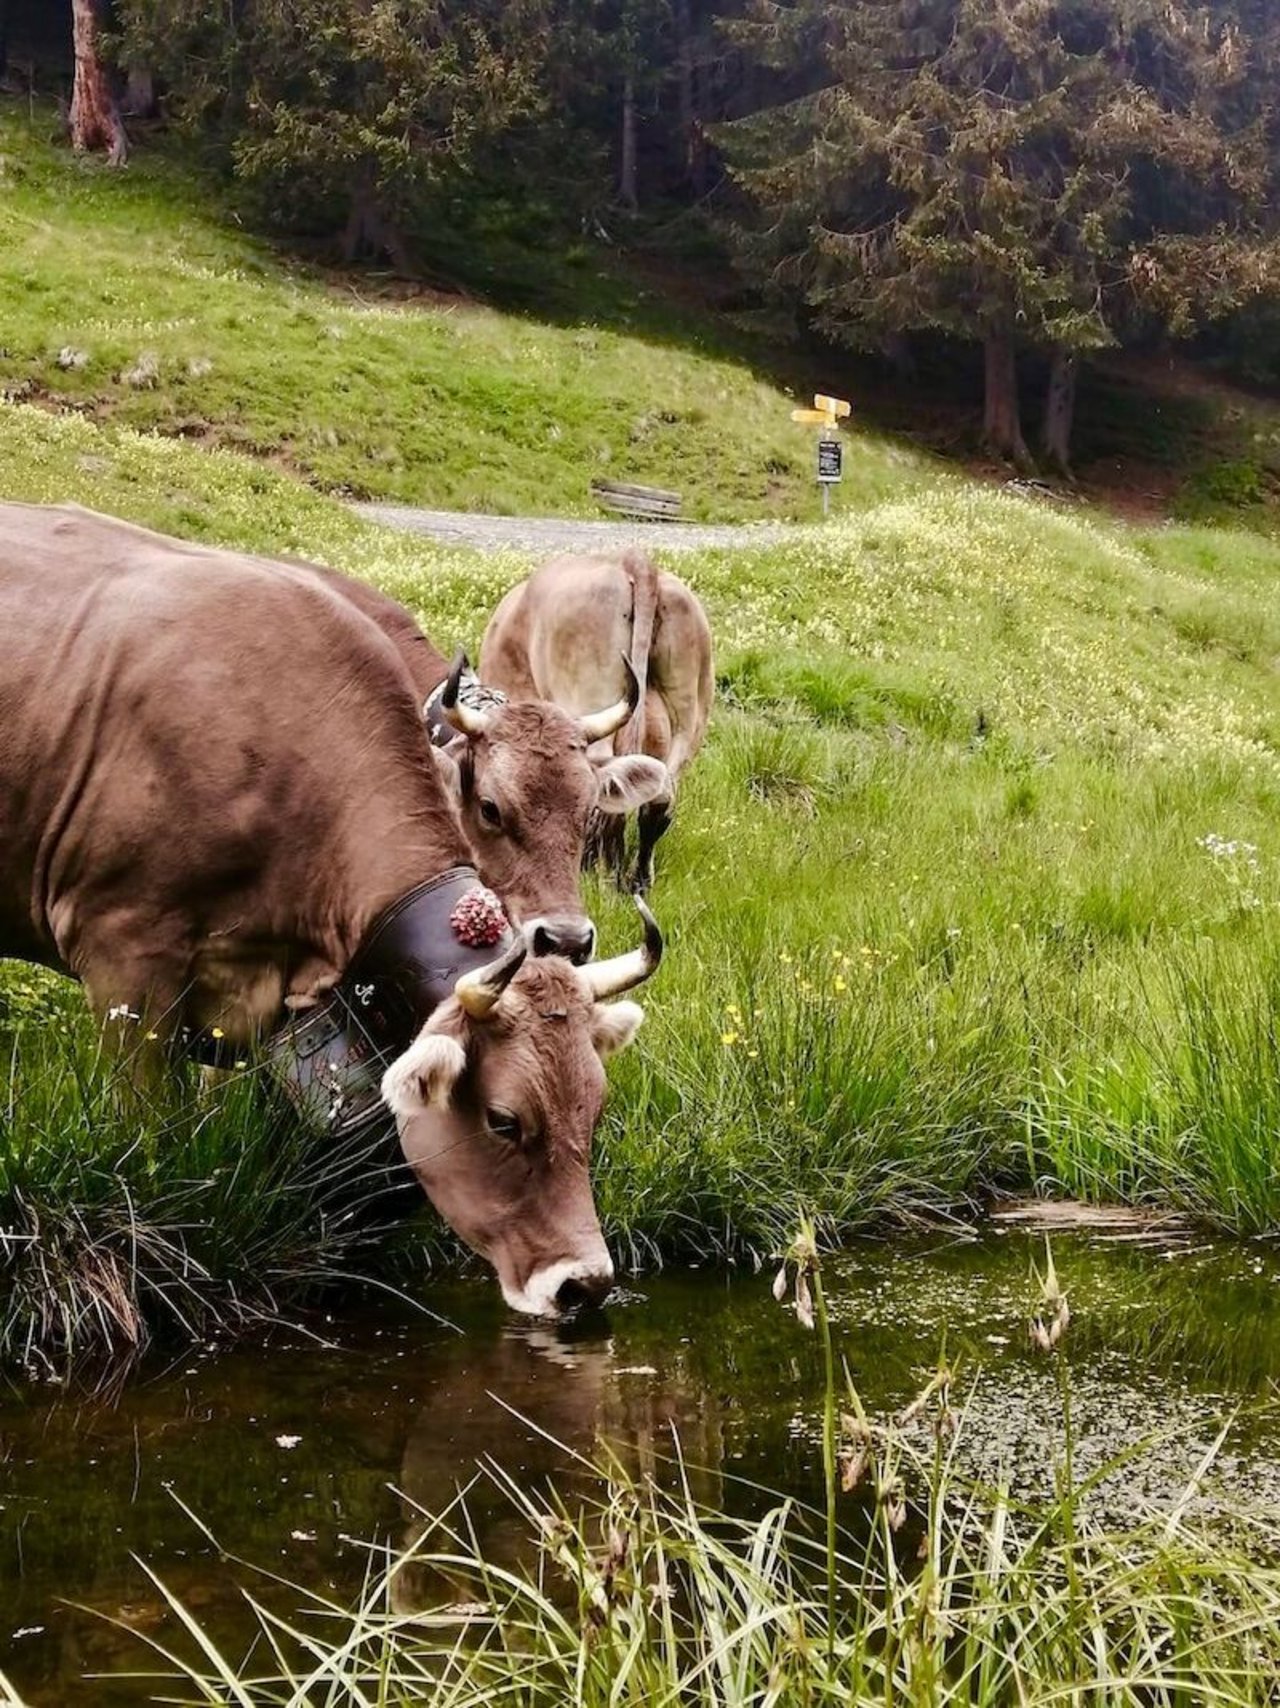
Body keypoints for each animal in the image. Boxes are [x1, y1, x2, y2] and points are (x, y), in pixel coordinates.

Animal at [481, 549, 714, 901]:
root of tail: (634, 561)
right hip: (688, 715)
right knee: (660, 797)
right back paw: (636, 881)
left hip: (592, 701)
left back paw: (602, 876)